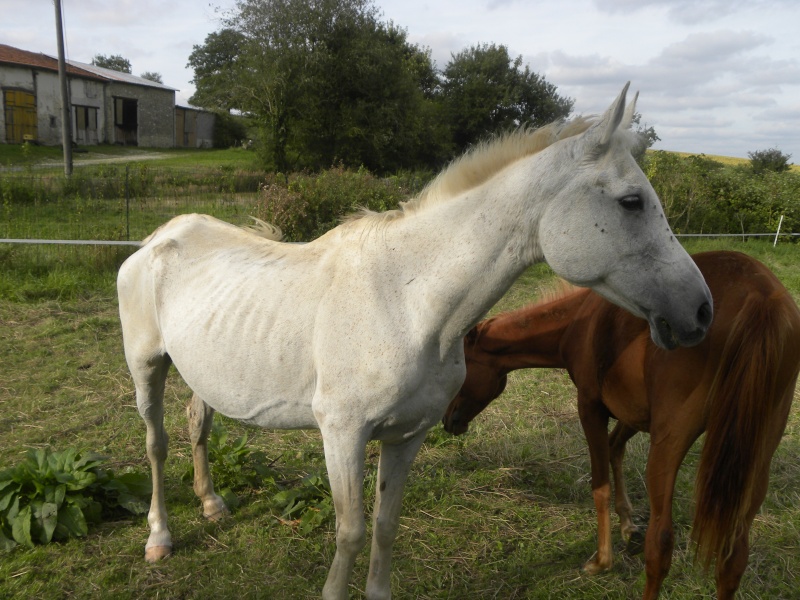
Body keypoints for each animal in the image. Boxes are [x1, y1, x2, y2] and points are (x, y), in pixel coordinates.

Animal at [115, 84, 708, 600]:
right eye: (632, 202)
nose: (701, 311)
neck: (405, 301)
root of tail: (159, 238)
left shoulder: (408, 434)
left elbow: (385, 524)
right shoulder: (342, 434)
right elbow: (351, 531)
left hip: (203, 372)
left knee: (198, 424)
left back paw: (212, 504)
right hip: (148, 367)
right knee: (156, 444)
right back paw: (160, 538)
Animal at [440, 251, 800, 596]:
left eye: (457, 369)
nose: (447, 421)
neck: (578, 321)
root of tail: (759, 296)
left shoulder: (590, 406)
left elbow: (600, 484)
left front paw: (602, 559)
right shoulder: (636, 413)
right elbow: (616, 450)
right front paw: (628, 526)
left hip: (670, 443)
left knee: (662, 543)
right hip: (755, 455)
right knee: (733, 556)